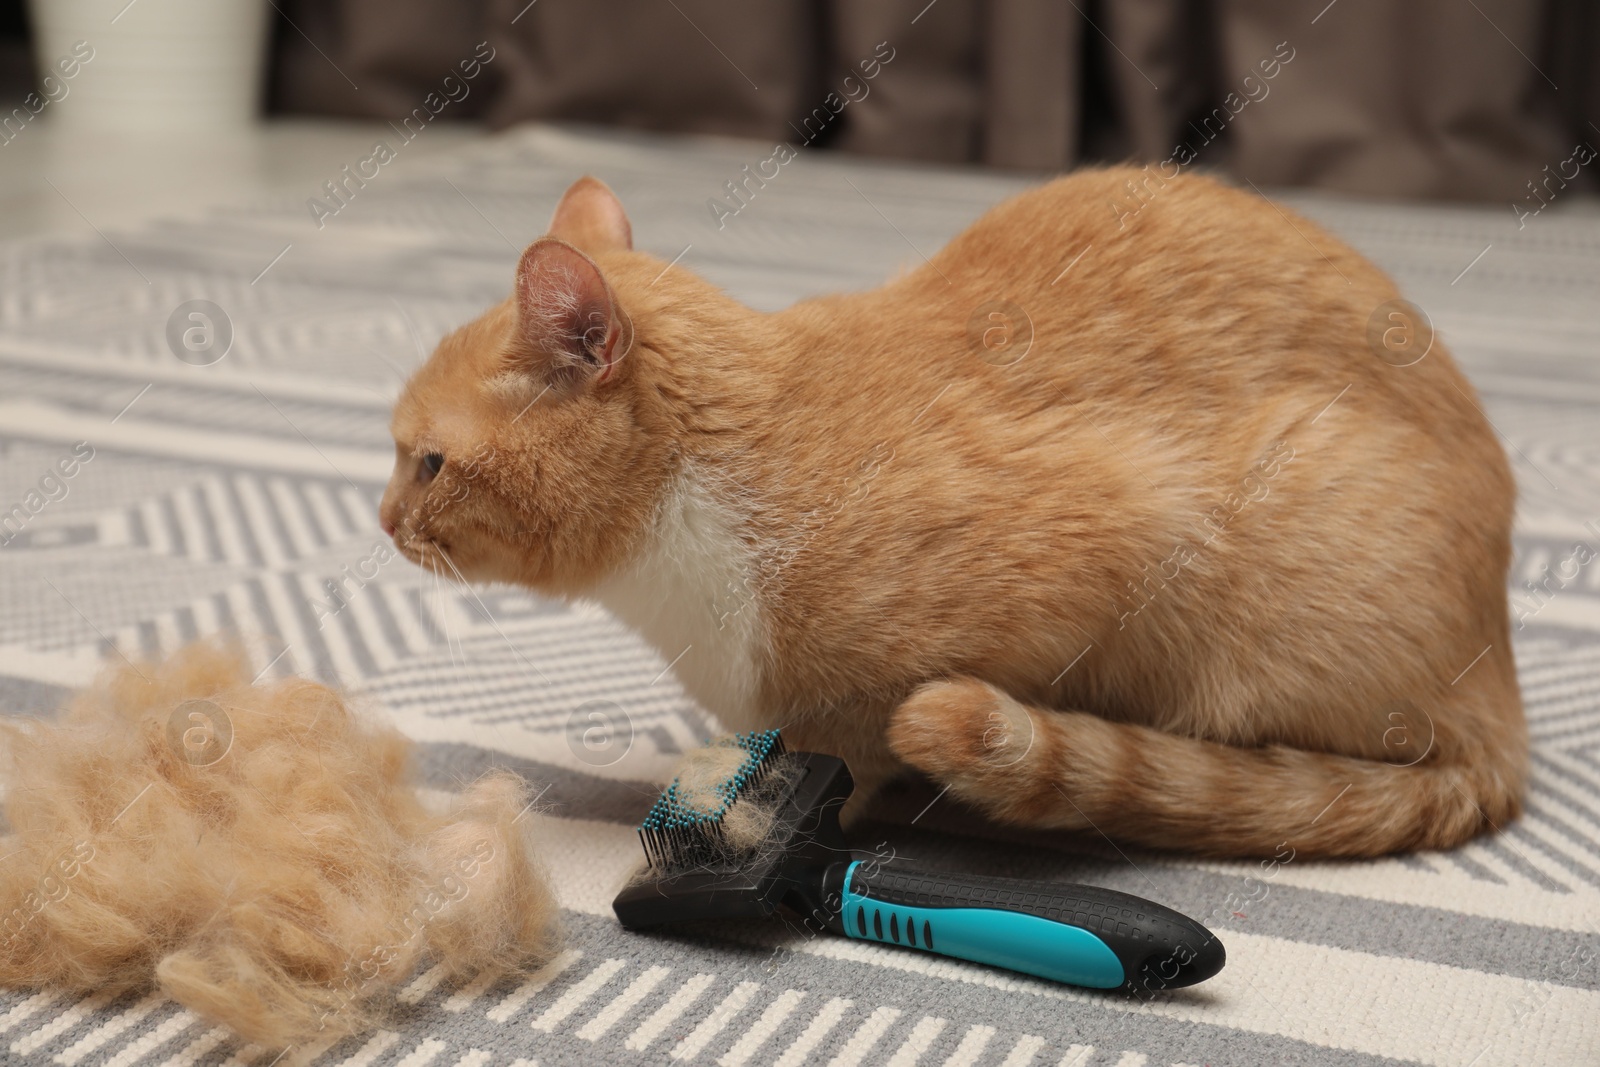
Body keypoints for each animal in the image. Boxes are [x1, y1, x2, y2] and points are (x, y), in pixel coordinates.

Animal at [377, 175, 1523, 857]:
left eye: (427, 461)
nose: (382, 520)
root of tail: (1500, 682)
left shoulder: (1126, 527)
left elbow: (863, 743)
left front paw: (805, 804)